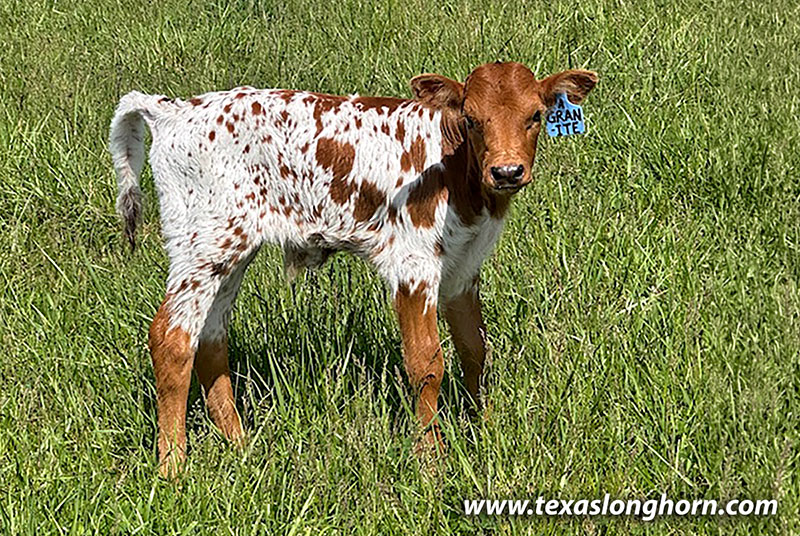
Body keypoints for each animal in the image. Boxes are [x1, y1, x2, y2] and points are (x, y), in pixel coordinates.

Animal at [109, 61, 597, 476]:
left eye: (536, 115)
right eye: (472, 119)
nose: (507, 171)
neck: (455, 168)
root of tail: (172, 109)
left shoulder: (463, 268)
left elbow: (474, 350)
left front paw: (485, 432)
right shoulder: (414, 266)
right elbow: (427, 364)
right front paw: (430, 460)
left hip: (231, 248)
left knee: (210, 338)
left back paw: (241, 446)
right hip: (201, 245)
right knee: (171, 338)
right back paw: (173, 467)